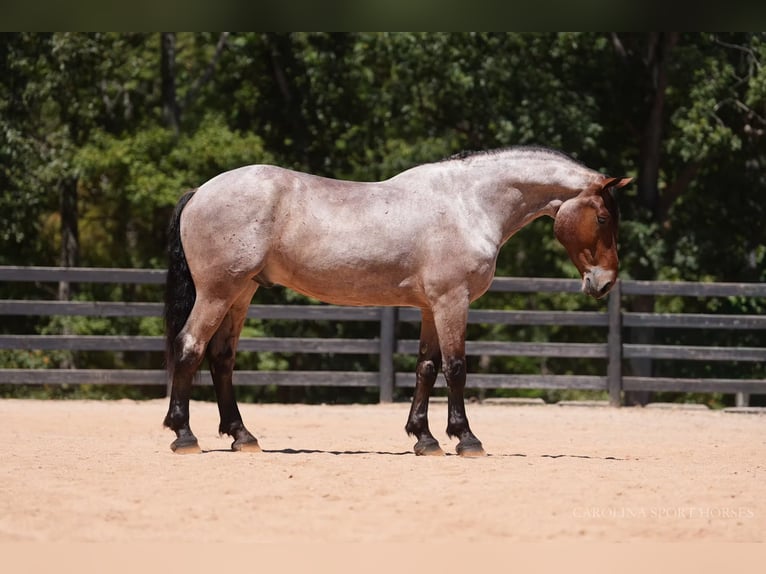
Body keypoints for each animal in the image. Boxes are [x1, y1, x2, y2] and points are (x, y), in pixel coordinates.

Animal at [162, 146, 630, 456]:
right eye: (603, 217)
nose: (605, 283)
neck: (468, 205)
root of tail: (200, 191)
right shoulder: (452, 301)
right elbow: (456, 368)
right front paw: (466, 438)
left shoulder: (429, 307)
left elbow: (426, 368)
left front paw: (424, 438)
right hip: (218, 292)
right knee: (189, 347)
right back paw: (184, 435)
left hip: (241, 293)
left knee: (221, 358)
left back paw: (242, 436)